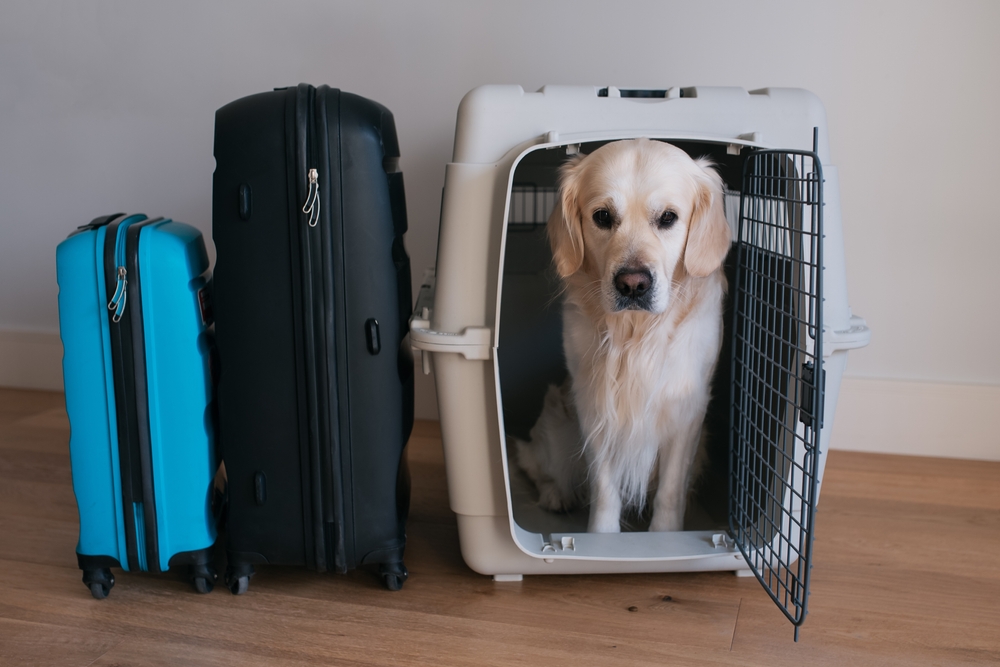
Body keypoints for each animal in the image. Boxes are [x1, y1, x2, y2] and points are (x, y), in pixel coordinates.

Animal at [512, 138, 732, 536]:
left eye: (668, 218)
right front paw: (602, 538)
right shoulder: (594, 404)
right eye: (602, 216)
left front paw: (664, 536)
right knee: (538, 467)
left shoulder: (687, 410)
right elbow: (604, 487)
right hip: (556, 427)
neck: (636, 331)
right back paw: (556, 495)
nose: (633, 284)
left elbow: (670, 491)